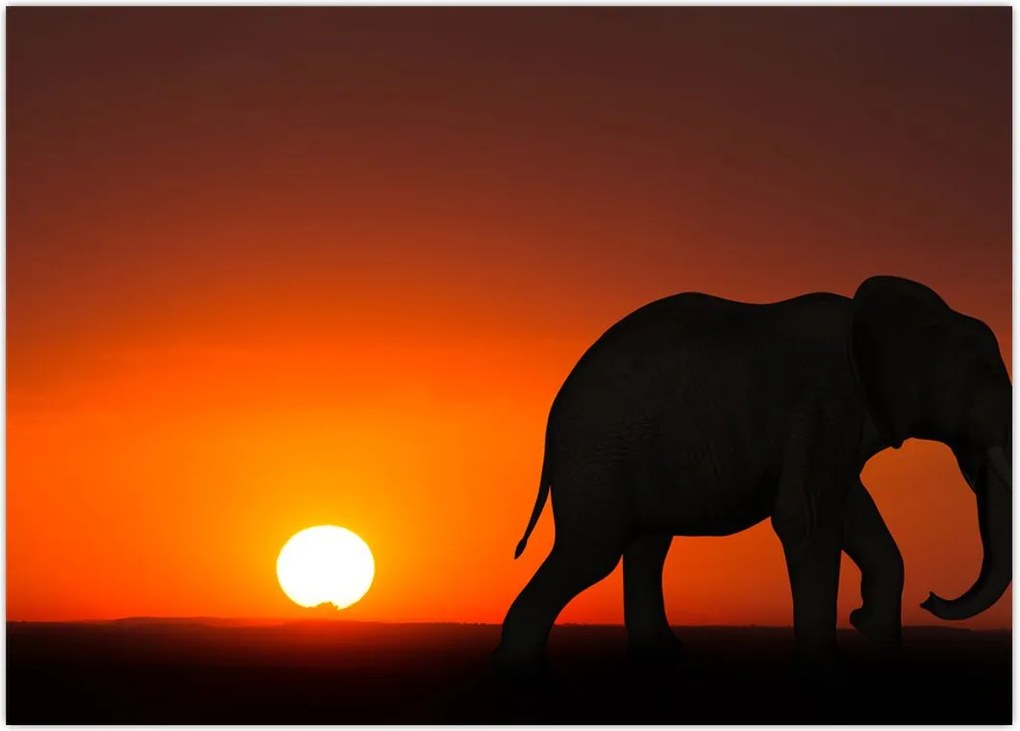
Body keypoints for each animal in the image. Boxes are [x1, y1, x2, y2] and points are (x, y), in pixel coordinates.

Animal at [495, 275, 1011, 674]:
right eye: (985, 377)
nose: (931, 599)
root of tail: (553, 416)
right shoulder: (824, 402)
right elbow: (808, 518)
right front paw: (826, 667)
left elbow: (851, 511)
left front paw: (874, 635)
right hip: (600, 456)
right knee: (593, 552)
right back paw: (519, 669)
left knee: (646, 545)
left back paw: (661, 656)